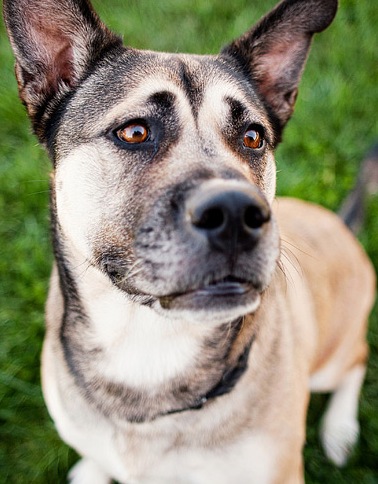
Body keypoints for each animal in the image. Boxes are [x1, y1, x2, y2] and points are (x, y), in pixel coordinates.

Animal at [2, 0, 376, 482]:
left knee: (358, 359)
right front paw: (91, 468)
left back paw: (340, 428)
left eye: (253, 137)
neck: (148, 344)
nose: (237, 214)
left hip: (332, 359)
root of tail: (340, 225)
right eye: (135, 132)